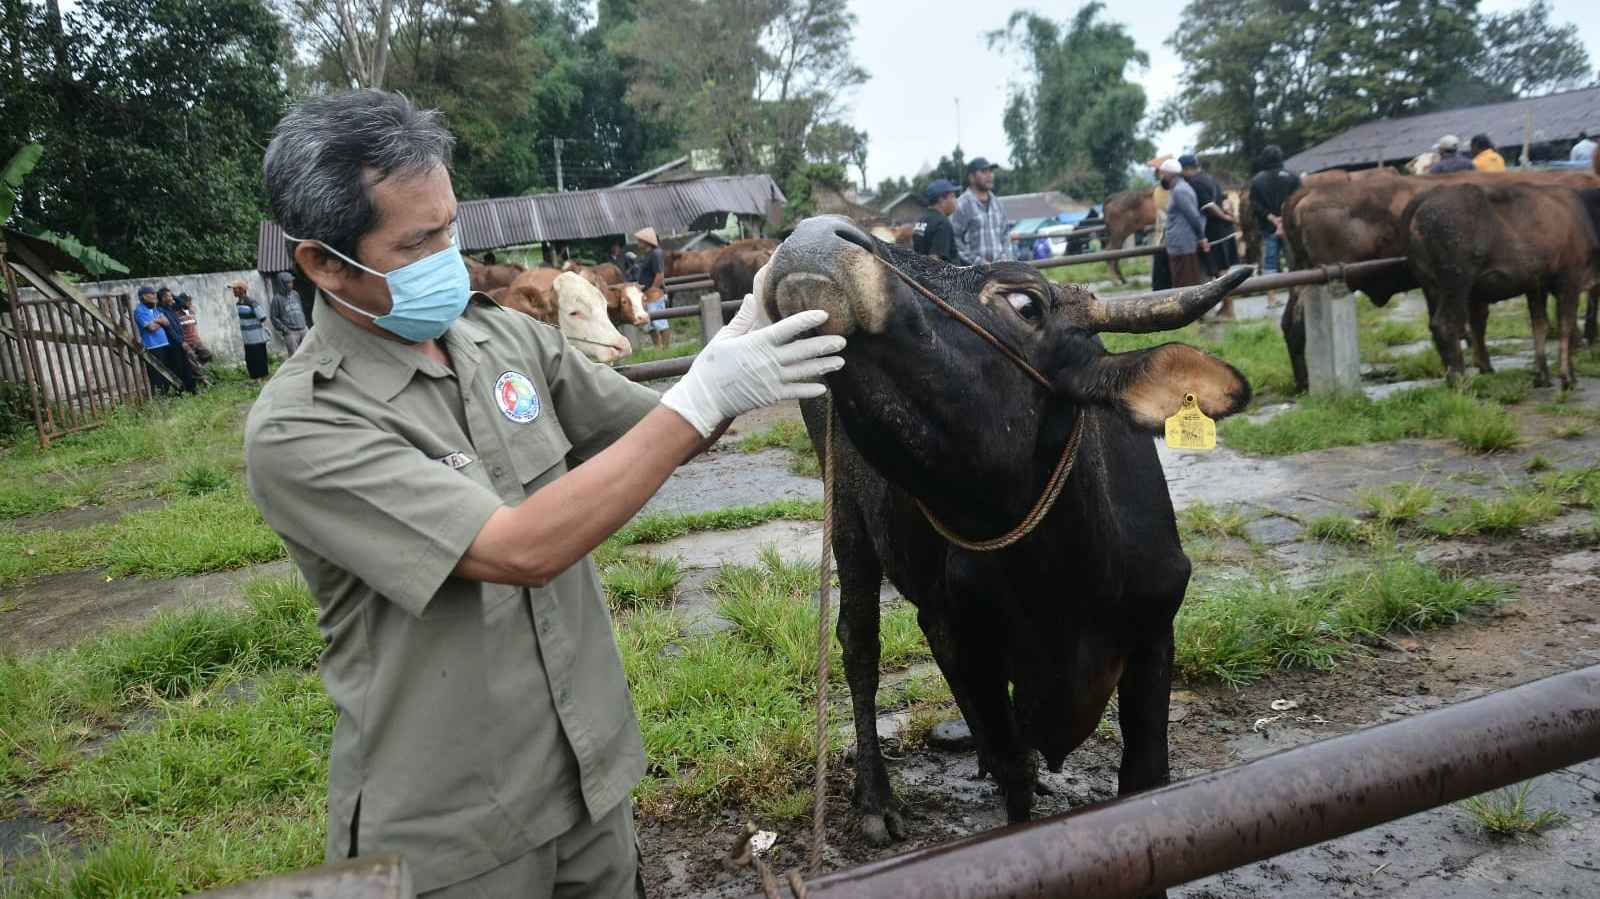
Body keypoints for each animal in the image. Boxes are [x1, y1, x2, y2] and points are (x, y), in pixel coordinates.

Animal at [1401, 183, 1600, 388]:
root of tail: (1425, 198)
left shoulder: (1536, 286)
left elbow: (1540, 325)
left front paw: (1541, 375)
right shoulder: (1569, 280)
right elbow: (1565, 326)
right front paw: (1568, 377)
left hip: (1431, 287)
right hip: (1456, 283)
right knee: (1446, 324)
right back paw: (1460, 380)